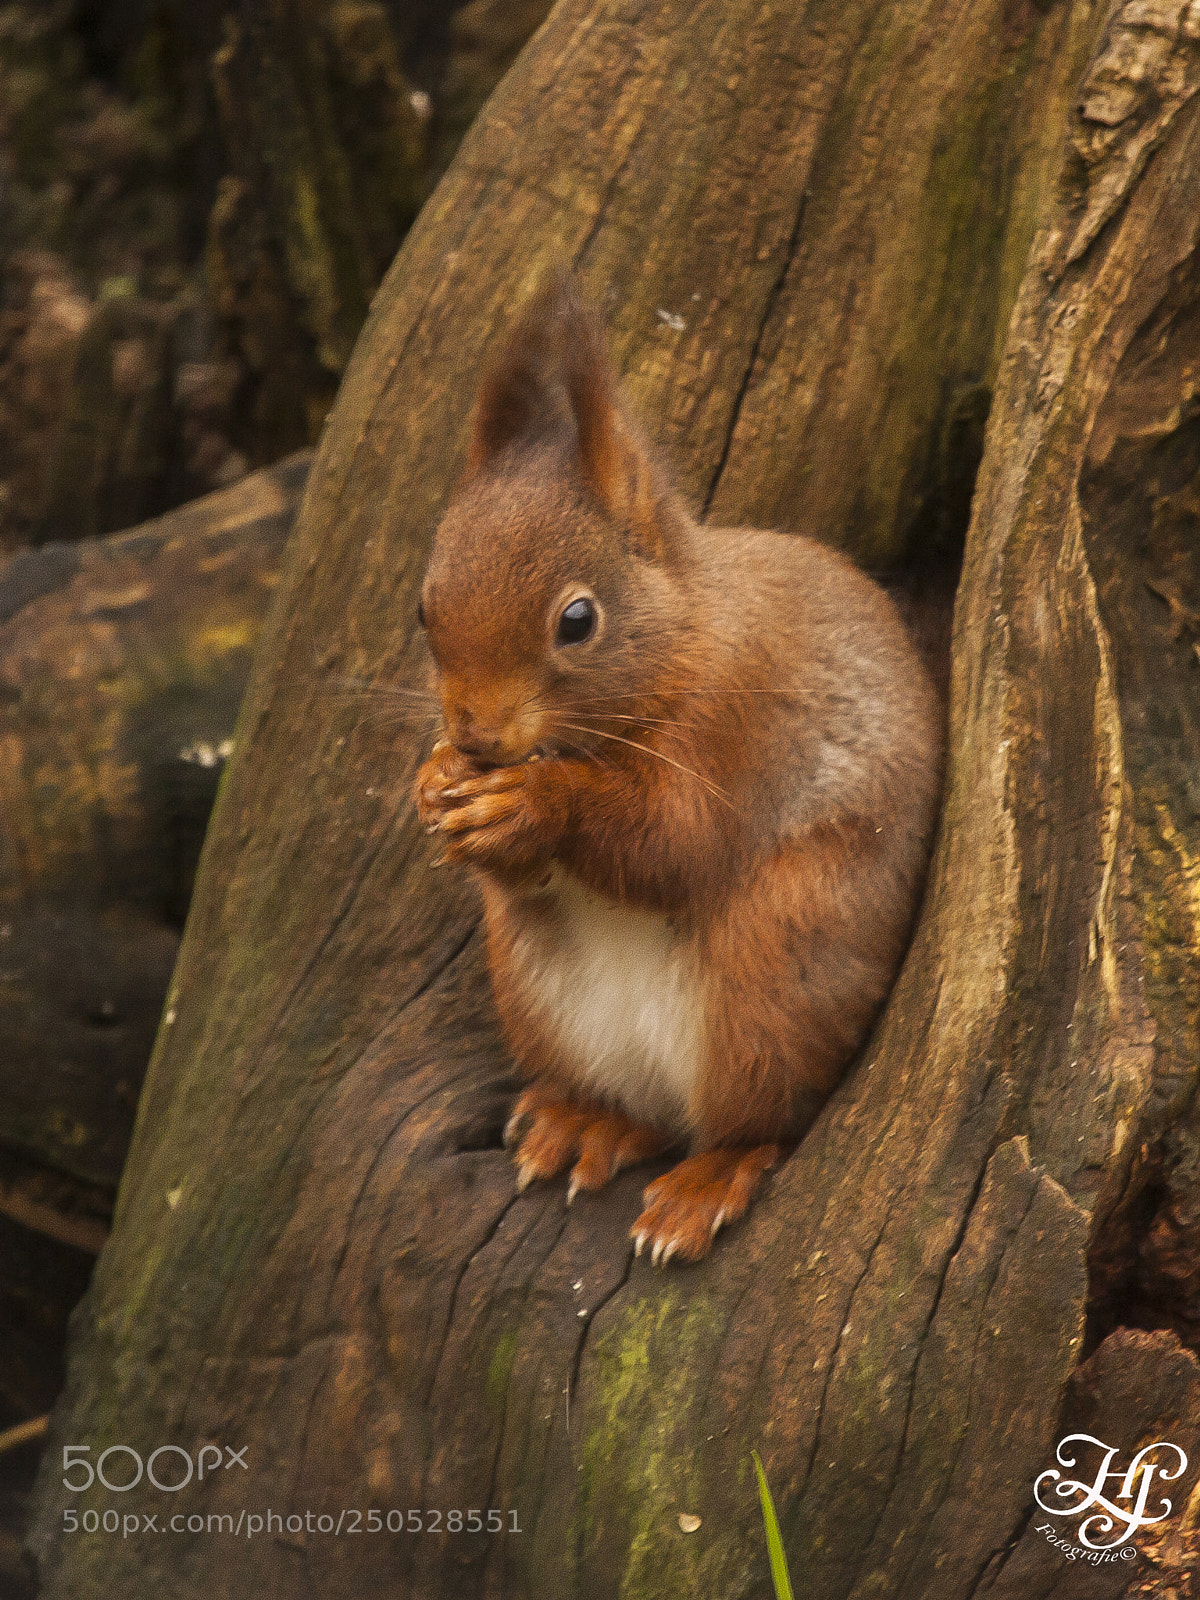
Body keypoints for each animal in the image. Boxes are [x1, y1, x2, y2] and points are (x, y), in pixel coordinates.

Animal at [414, 275, 943, 1264]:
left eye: (577, 621)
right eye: (422, 609)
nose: (478, 734)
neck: (685, 635)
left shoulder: (741, 727)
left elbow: (674, 845)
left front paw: (532, 803)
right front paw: (433, 784)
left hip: (772, 982)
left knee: (761, 1124)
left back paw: (708, 1181)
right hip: (541, 998)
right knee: (643, 1118)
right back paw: (586, 1124)